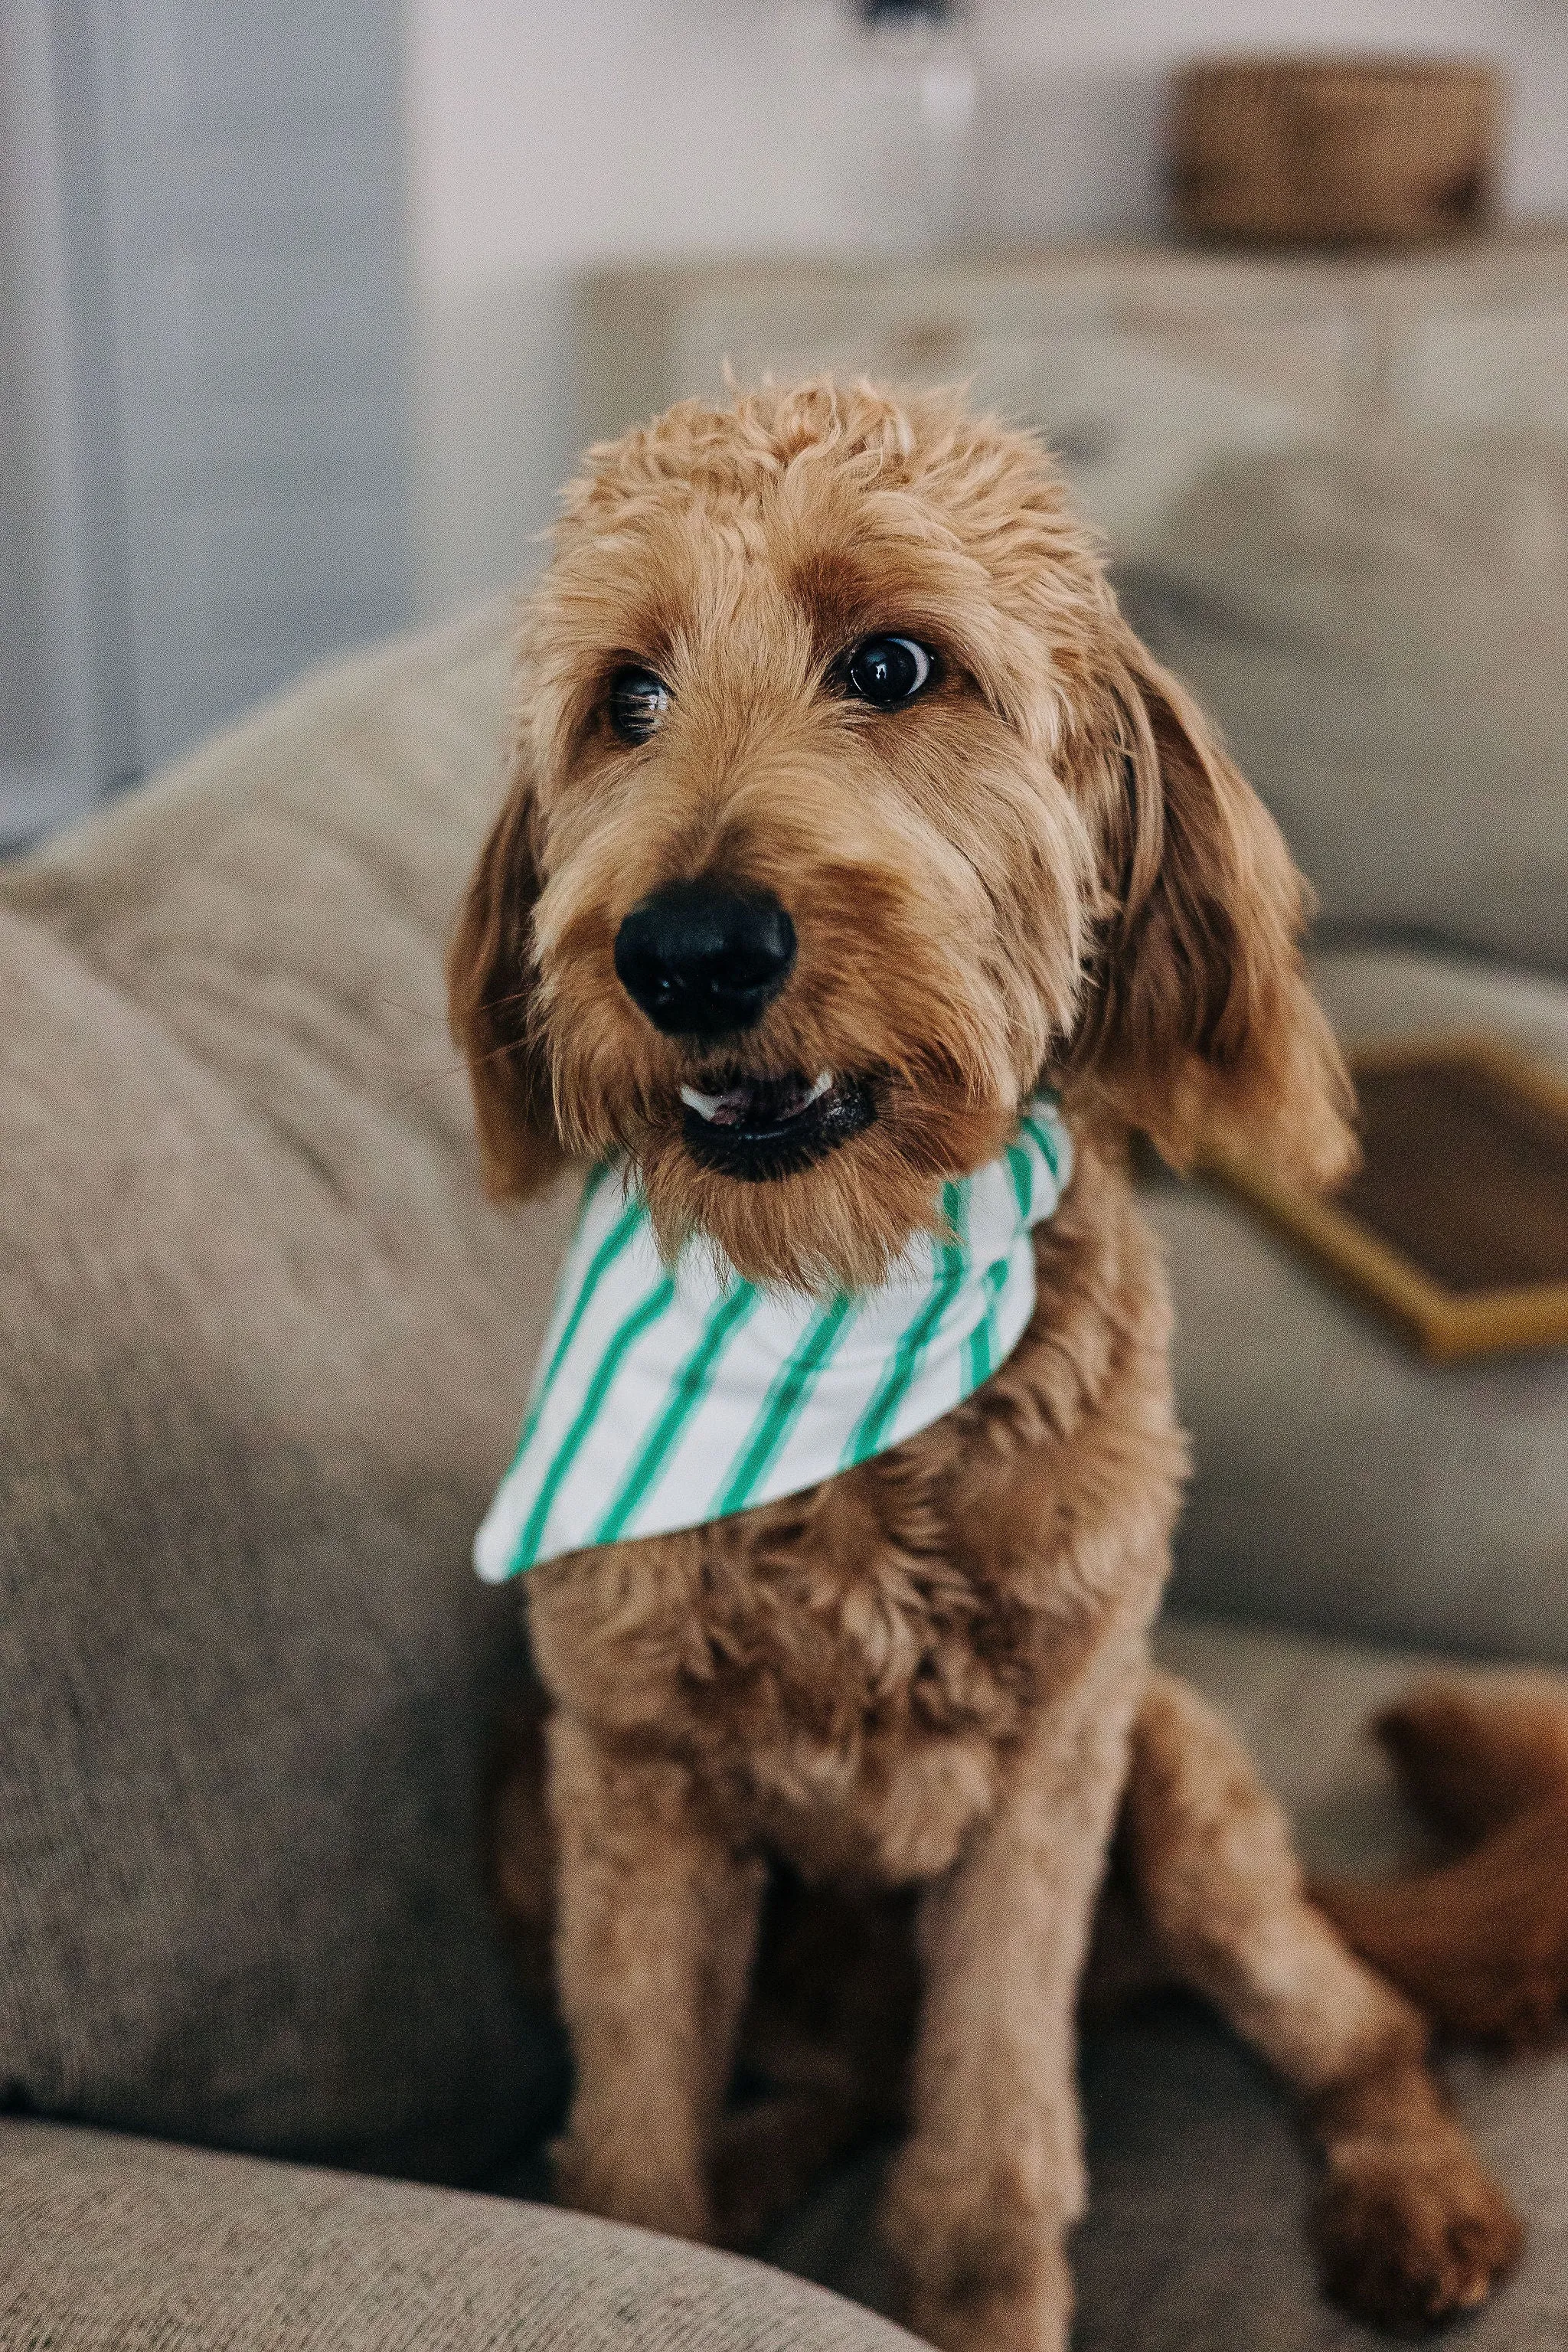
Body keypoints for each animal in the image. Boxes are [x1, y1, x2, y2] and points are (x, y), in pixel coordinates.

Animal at [451, 385, 1523, 2352]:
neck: (844, 1314)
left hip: (1178, 1780)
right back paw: (760, 2172)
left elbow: (987, 2172)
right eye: (626, 696)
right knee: (833, 2089)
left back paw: (1413, 2197)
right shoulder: (635, 1777)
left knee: (1365, 2025)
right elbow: (628, 2152)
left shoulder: (1049, 1774)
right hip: (523, 1789)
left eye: (893, 663)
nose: (687, 950)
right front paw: (662, 2228)